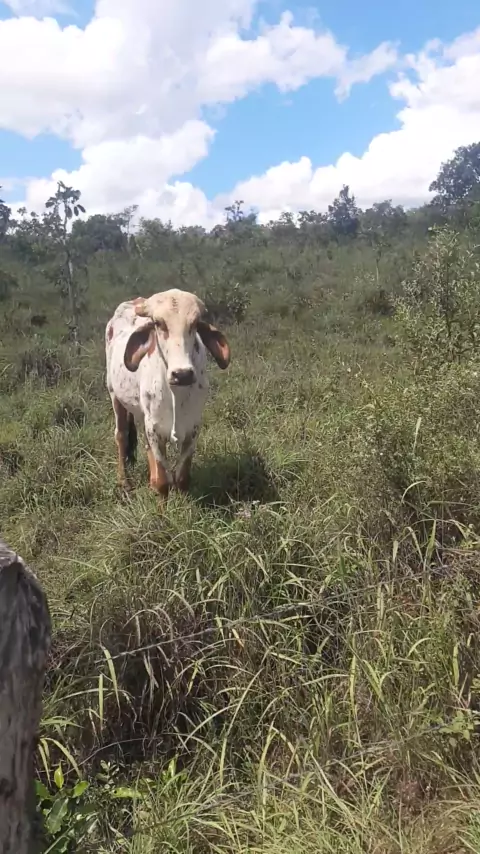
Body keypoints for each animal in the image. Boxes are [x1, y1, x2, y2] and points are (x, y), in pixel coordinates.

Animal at [105, 289, 231, 499]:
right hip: (115, 396)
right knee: (121, 435)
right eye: (158, 323)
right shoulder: (154, 429)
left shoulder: (193, 428)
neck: (175, 394)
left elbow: (182, 478)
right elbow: (163, 481)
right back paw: (124, 482)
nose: (182, 374)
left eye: (194, 323)